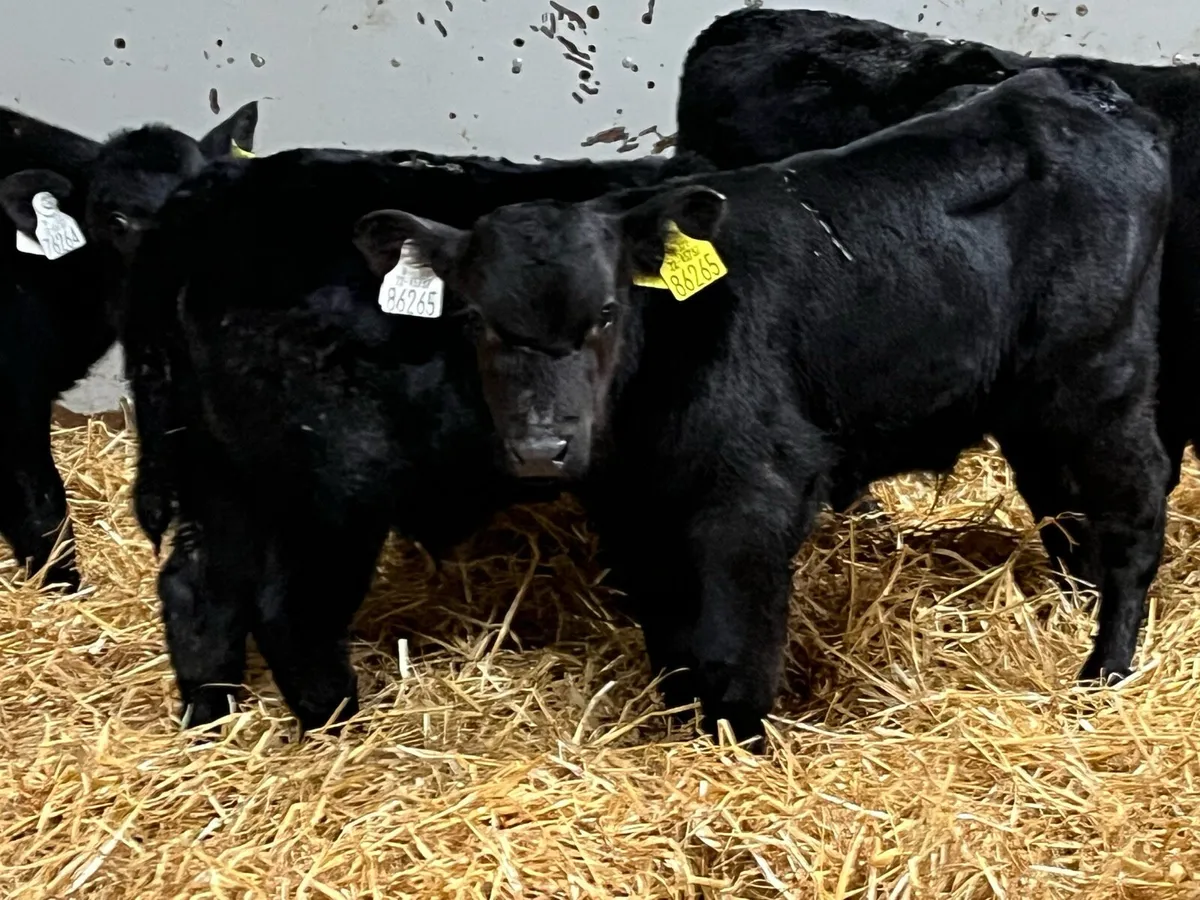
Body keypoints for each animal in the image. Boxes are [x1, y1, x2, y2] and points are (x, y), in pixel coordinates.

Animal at [121, 147, 713, 731]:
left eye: (606, 314)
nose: (544, 447)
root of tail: (209, 194)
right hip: (328, 491)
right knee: (288, 610)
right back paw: (338, 725)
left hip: (217, 472)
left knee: (198, 590)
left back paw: (208, 719)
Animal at [352, 68, 1173, 741]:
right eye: (475, 319)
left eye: (608, 313)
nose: (541, 446)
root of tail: (1069, 90)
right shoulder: (633, 513)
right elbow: (671, 638)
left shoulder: (756, 494)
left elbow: (734, 646)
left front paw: (738, 744)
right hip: (1032, 404)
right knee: (1063, 512)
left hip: (1102, 373)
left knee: (1134, 510)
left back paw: (1103, 671)